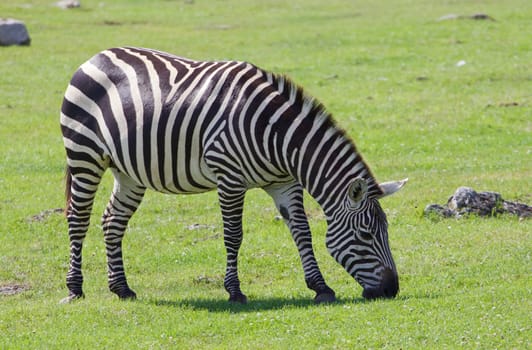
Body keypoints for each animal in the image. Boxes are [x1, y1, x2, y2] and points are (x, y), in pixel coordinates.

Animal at [60, 45, 406, 304]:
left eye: (386, 233)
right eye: (366, 235)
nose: (391, 291)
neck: (276, 136)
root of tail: (98, 55)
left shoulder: (285, 183)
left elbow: (302, 232)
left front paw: (320, 287)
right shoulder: (230, 179)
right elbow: (233, 235)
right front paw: (235, 291)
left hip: (129, 172)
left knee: (112, 221)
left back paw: (121, 288)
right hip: (85, 155)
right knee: (78, 219)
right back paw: (75, 288)